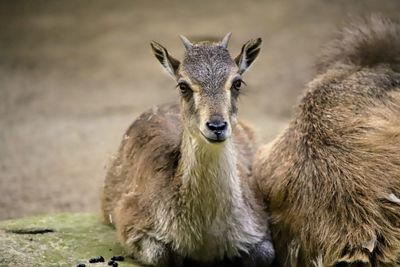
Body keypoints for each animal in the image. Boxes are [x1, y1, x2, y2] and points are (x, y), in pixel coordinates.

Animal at [100, 34, 276, 267]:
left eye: (237, 82)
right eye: (183, 85)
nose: (217, 126)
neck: (206, 234)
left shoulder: (258, 222)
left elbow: (265, 255)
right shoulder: (131, 222)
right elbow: (160, 255)